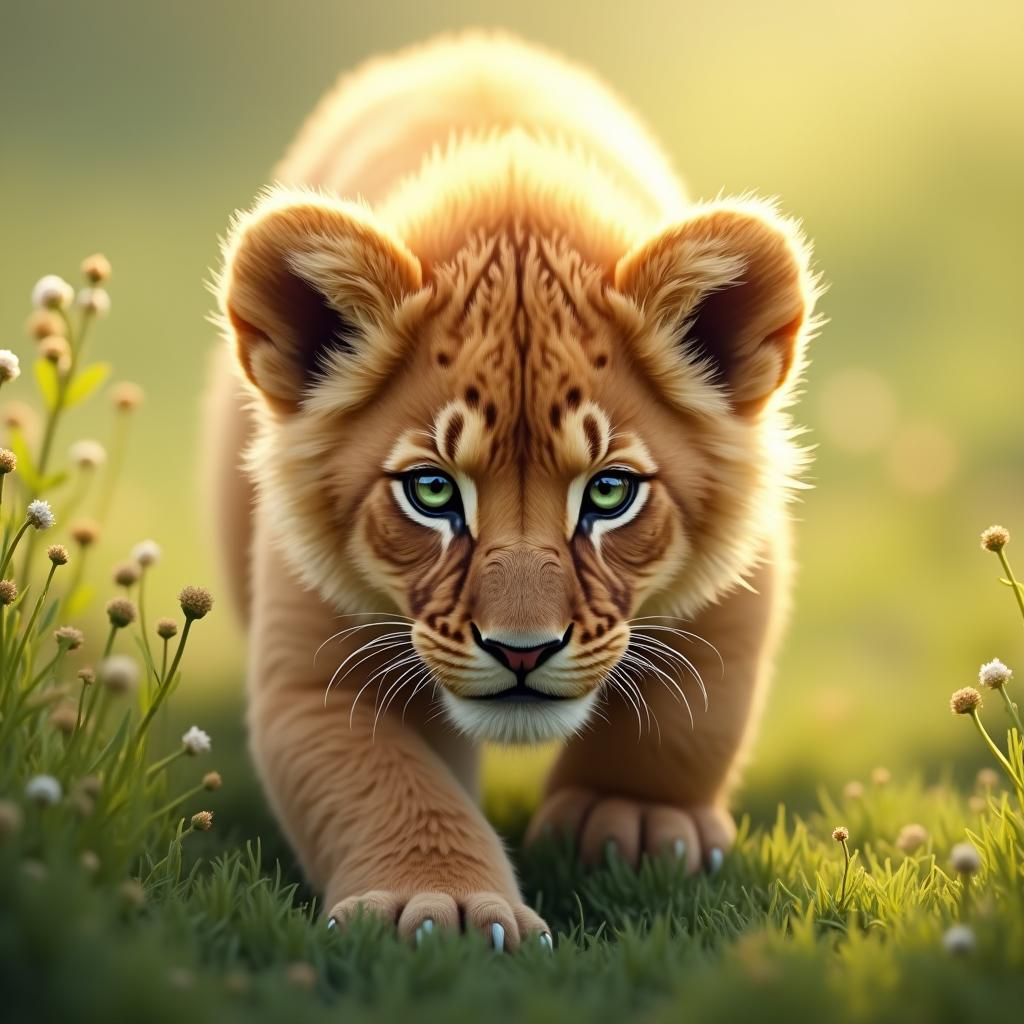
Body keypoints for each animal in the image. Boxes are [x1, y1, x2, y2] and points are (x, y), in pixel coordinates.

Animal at [207, 31, 820, 951]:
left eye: (609, 494)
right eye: (431, 492)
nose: (522, 651)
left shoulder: (735, 583)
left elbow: (691, 718)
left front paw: (633, 823)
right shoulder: (315, 669)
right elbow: (385, 785)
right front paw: (440, 908)